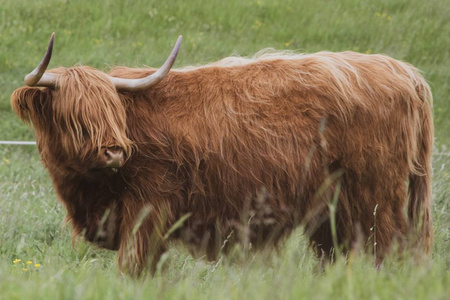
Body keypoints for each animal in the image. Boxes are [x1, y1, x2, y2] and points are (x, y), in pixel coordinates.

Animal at [9, 34, 432, 276]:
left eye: (112, 111)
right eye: (73, 115)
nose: (114, 151)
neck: (90, 193)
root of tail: (406, 72)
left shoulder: (148, 208)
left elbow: (135, 265)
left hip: (377, 199)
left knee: (389, 250)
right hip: (333, 207)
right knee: (335, 254)